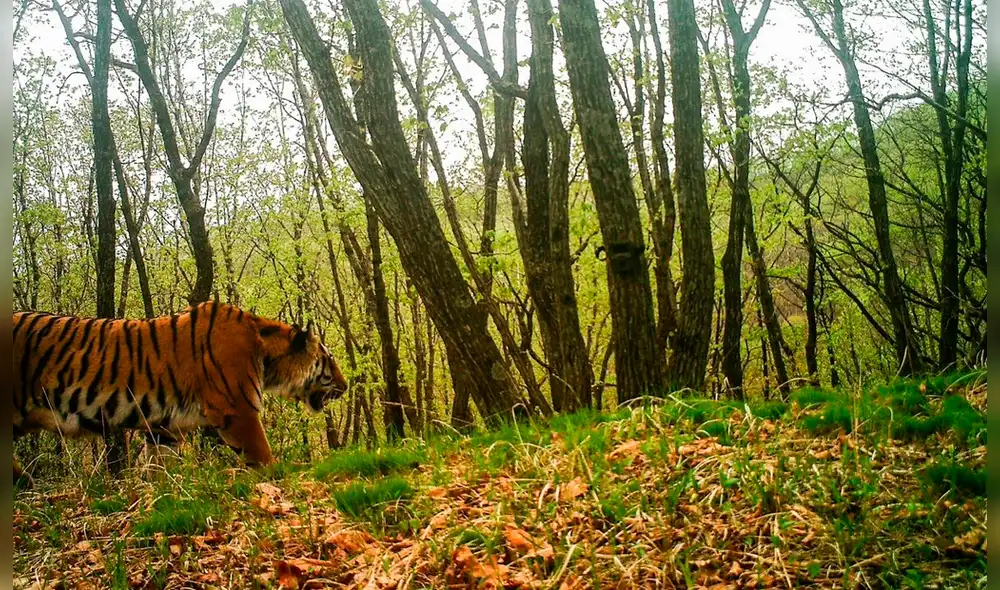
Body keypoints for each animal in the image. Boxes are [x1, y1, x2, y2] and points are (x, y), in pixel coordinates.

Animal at [13, 300, 349, 487]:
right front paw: (281, 478)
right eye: (329, 358)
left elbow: (160, 468)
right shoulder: (238, 410)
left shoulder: (163, 428)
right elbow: (263, 456)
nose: (345, 386)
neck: (265, 353)